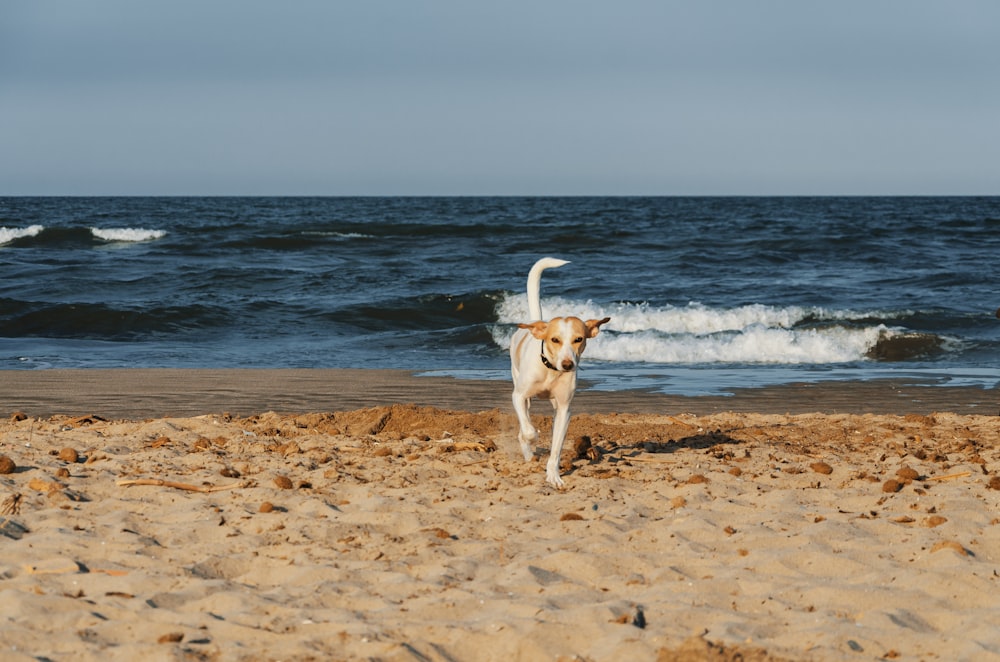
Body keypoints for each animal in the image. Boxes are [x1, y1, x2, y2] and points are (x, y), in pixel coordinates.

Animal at [508, 258, 608, 488]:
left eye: (579, 339)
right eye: (554, 340)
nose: (568, 364)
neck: (550, 370)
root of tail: (536, 322)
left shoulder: (564, 409)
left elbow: (556, 447)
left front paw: (553, 475)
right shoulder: (518, 396)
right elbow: (528, 430)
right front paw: (532, 438)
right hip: (521, 388)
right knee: (524, 422)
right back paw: (528, 452)